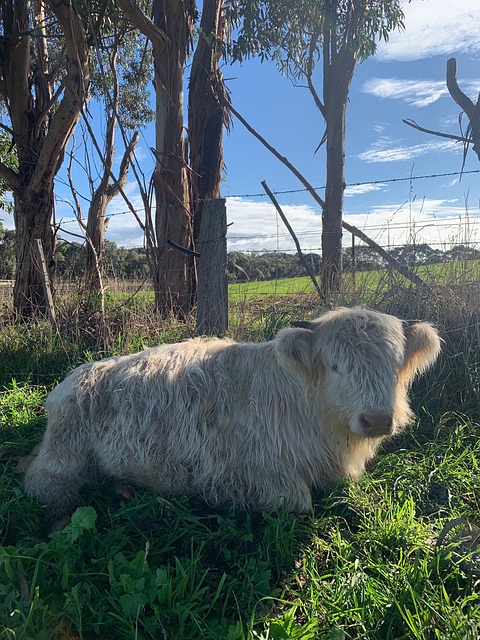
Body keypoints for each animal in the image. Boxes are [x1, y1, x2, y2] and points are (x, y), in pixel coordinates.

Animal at [23, 307, 441, 528]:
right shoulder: (237, 470)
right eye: (336, 366)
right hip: (64, 455)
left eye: (394, 367)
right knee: (41, 481)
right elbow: (299, 499)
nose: (377, 420)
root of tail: (77, 375)